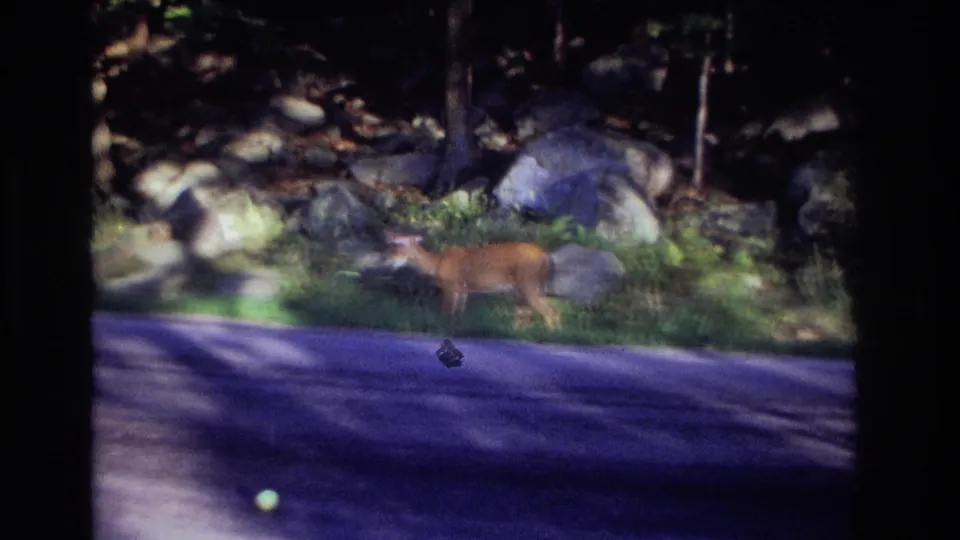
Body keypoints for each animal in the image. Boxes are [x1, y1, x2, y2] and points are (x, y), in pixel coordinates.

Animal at [384, 231, 561, 330]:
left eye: (398, 247)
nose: (389, 262)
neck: (437, 264)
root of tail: (546, 256)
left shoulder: (451, 286)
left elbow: (446, 313)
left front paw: (441, 329)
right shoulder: (463, 289)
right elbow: (459, 314)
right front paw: (458, 328)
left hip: (528, 283)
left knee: (550, 311)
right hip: (528, 288)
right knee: (528, 313)